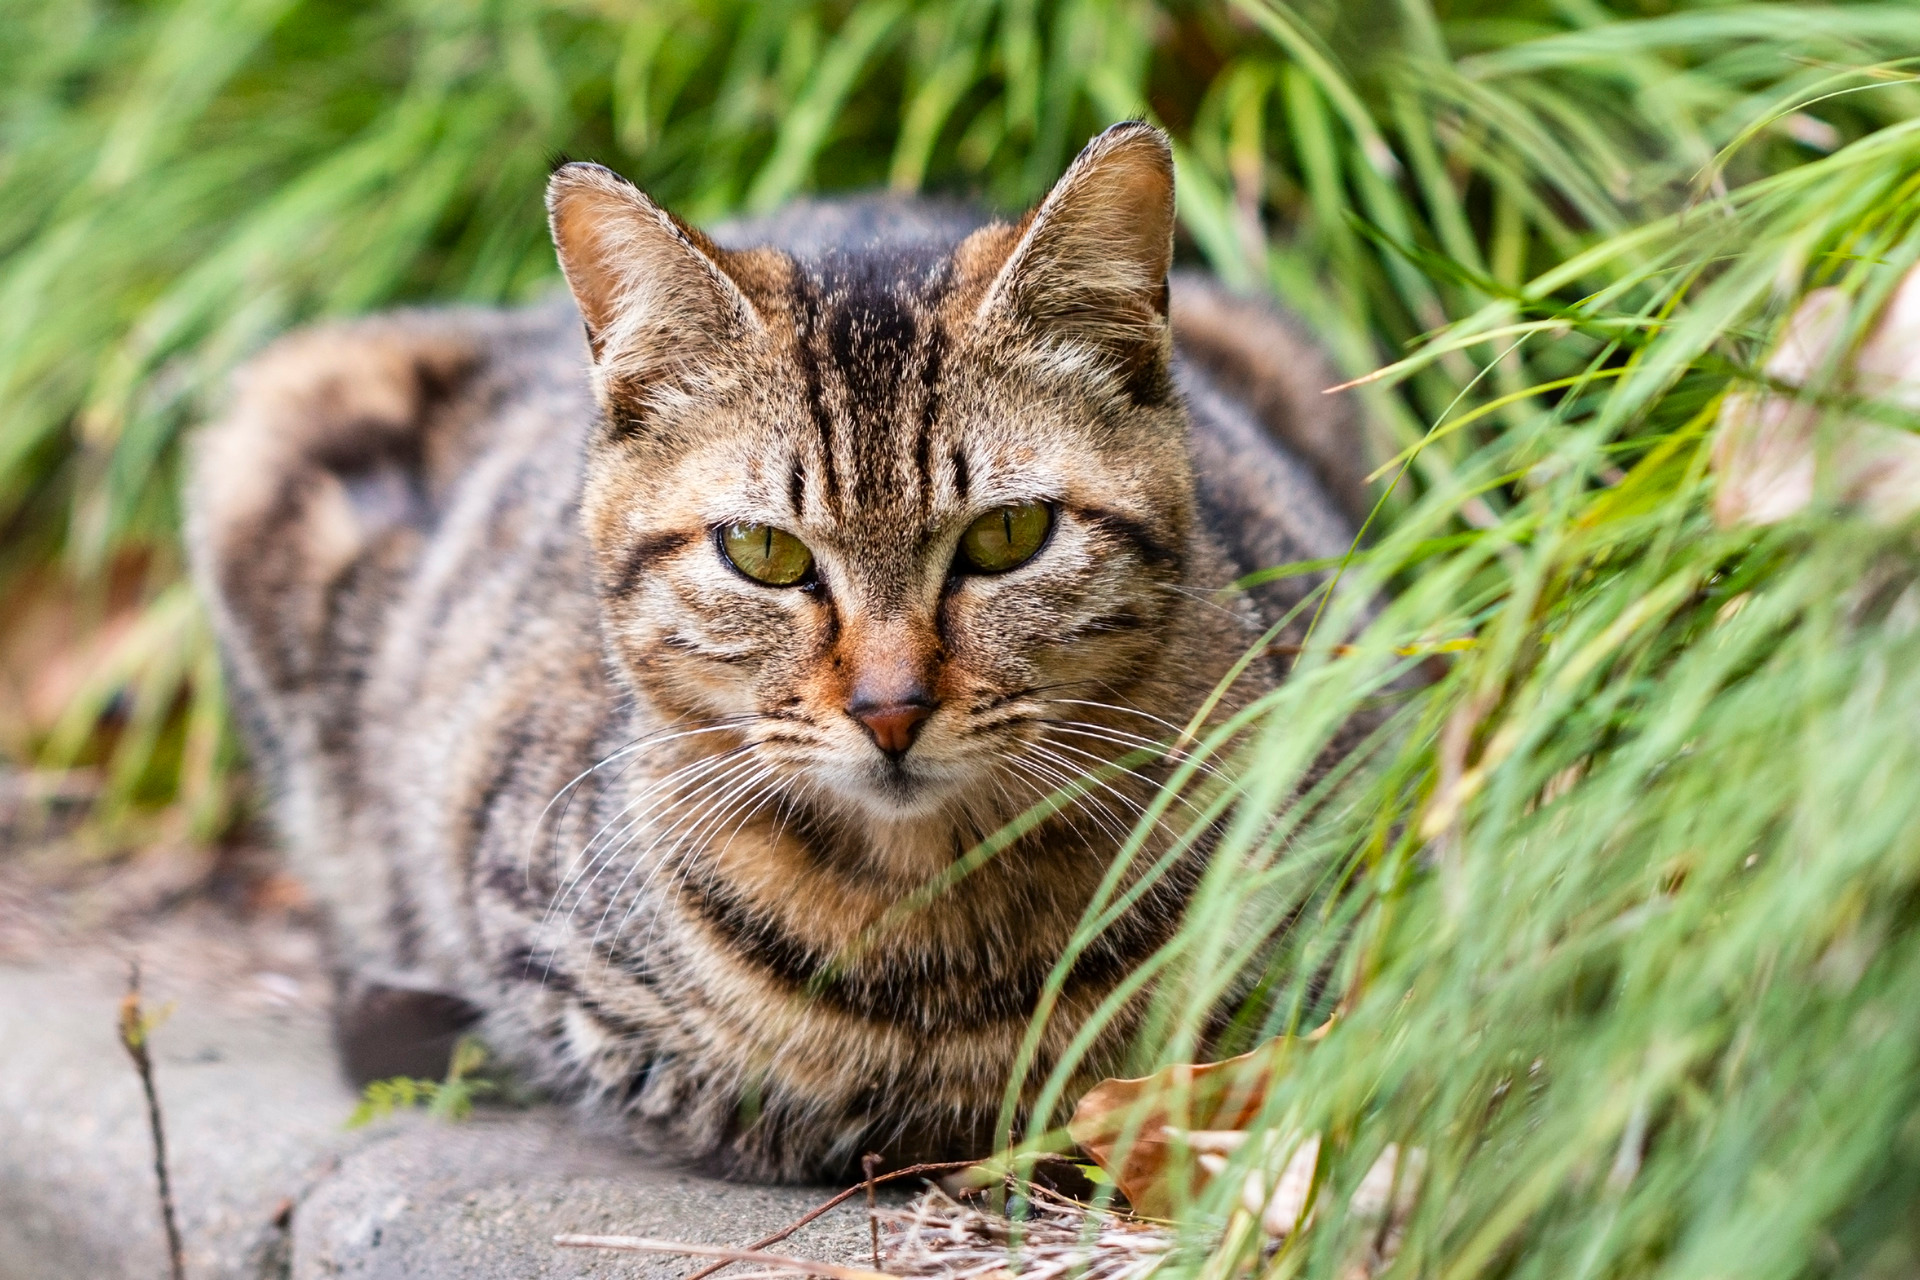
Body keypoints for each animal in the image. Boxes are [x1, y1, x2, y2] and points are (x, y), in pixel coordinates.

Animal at [187, 122, 1367, 1182]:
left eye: (1008, 535)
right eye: (763, 552)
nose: (891, 708)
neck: (936, 923)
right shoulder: (550, 962)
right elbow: (765, 1092)